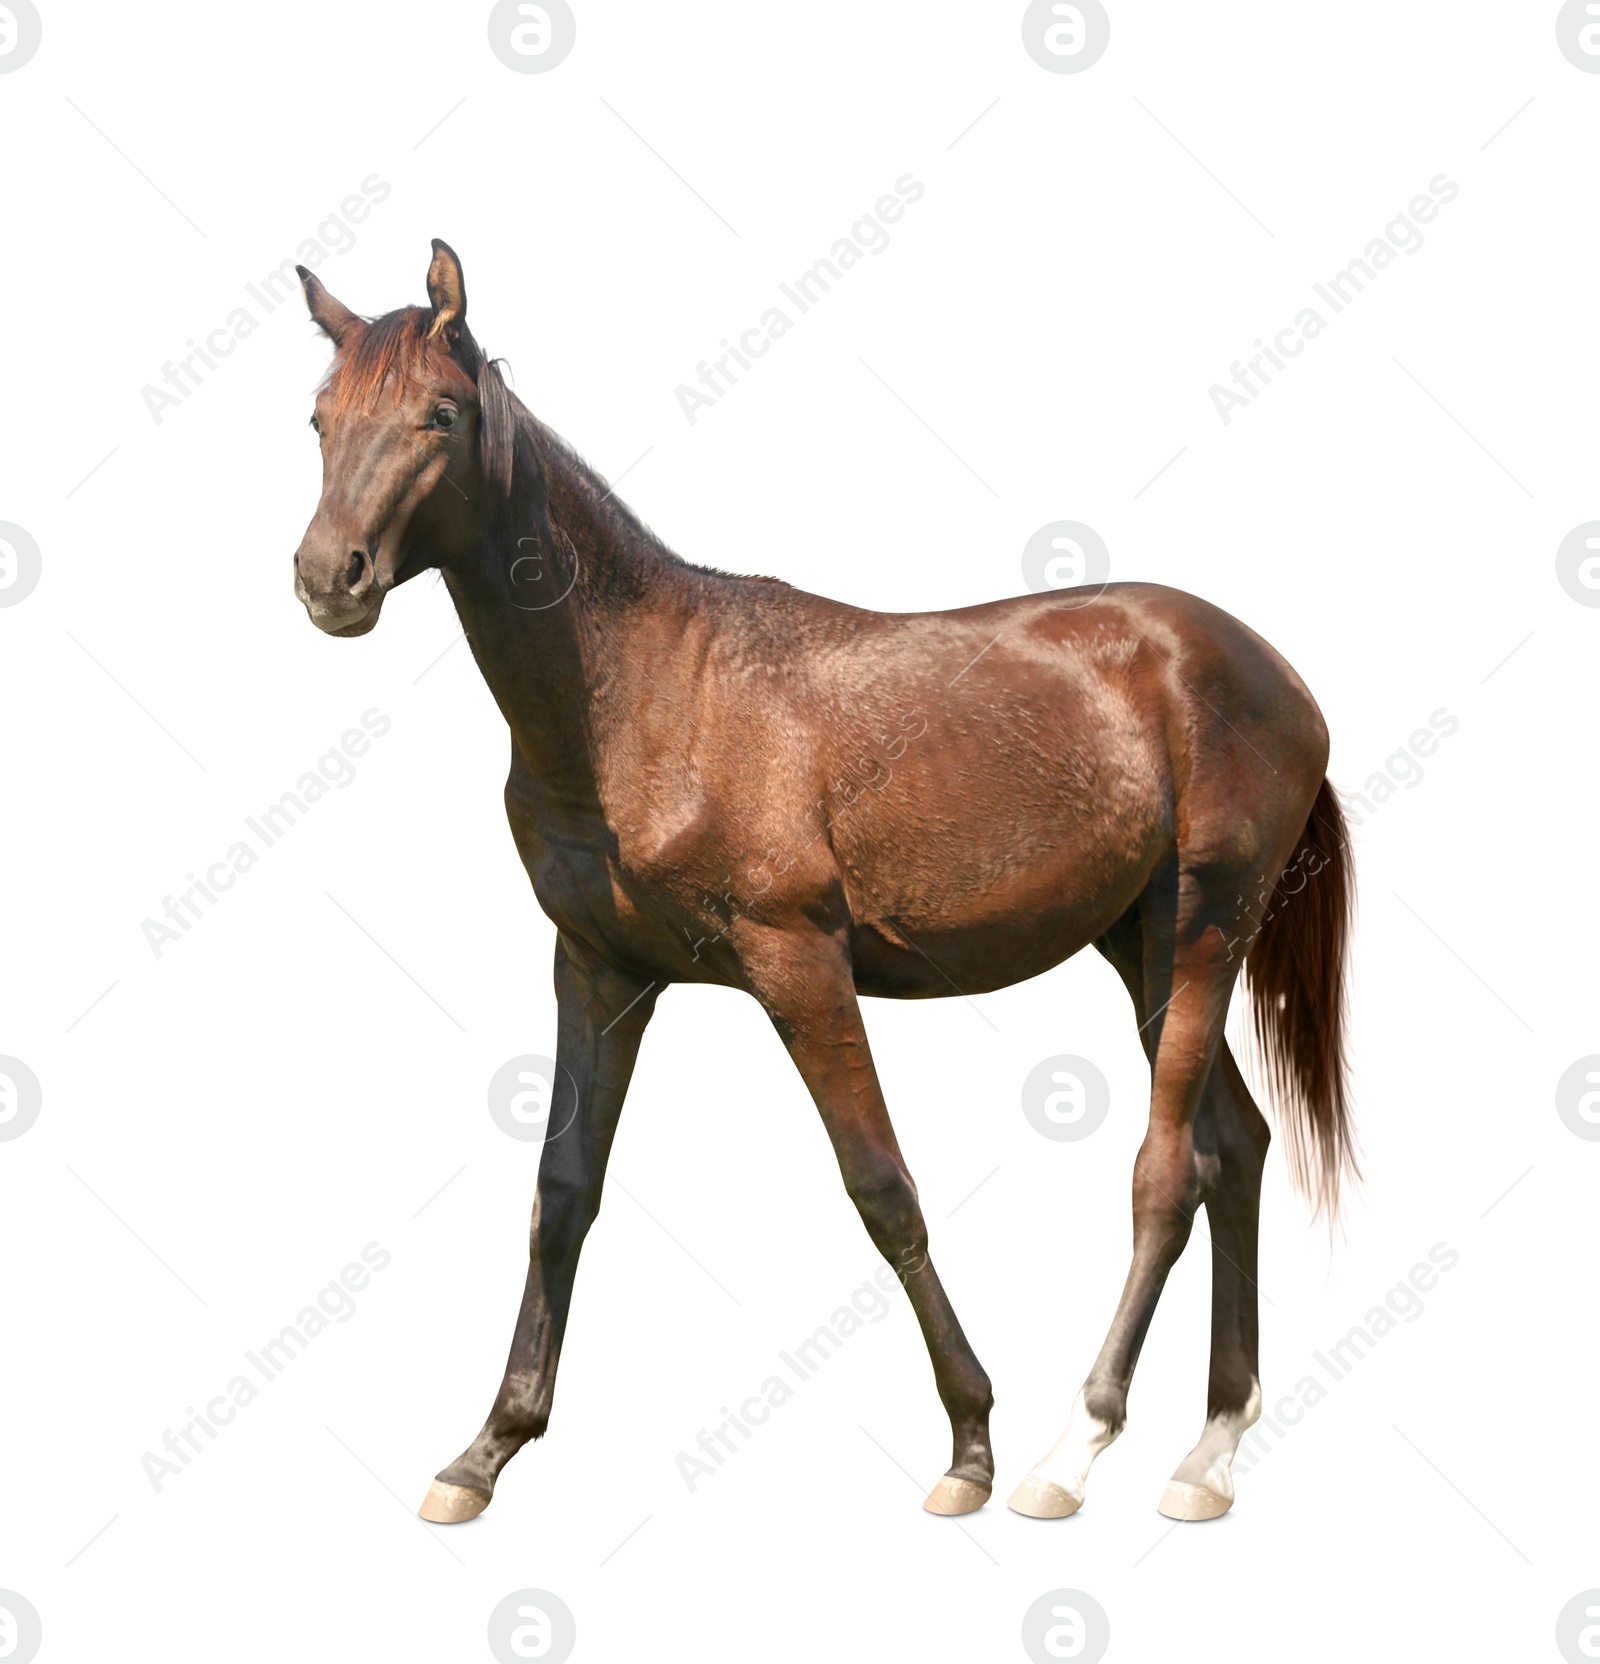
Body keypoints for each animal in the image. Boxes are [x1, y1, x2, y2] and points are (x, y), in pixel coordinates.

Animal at [292, 241, 1350, 1524]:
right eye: (319, 418)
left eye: (438, 414)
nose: (327, 578)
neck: (643, 689)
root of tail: (1268, 669)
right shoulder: (597, 971)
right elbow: (562, 1192)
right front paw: (485, 1449)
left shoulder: (798, 963)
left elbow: (880, 1185)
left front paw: (969, 1442)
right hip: (1138, 942)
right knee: (1234, 1146)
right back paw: (1209, 1451)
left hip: (1204, 930)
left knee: (1168, 1169)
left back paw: (1070, 1449)